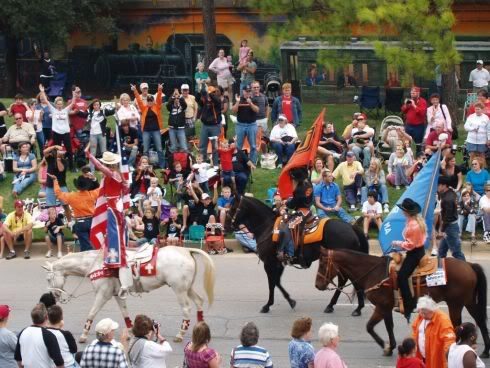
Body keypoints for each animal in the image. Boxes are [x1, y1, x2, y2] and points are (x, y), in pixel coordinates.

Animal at [43, 246, 215, 344]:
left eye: (49, 278)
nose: (54, 295)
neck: (96, 264)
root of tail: (187, 250)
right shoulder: (117, 295)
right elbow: (125, 313)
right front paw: (132, 331)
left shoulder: (102, 294)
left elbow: (91, 313)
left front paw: (84, 335)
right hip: (187, 288)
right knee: (199, 302)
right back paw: (201, 328)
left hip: (179, 290)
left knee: (186, 309)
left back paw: (180, 334)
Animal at [230, 197, 368, 314]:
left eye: (233, 208)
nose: (227, 225)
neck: (268, 228)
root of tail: (351, 227)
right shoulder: (279, 262)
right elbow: (277, 281)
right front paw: (290, 301)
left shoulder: (269, 263)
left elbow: (272, 283)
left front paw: (268, 305)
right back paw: (353, 307)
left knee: (345, 280)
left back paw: (341, 306)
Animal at [314, 249, 490, 358]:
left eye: (322, 264)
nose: (318, 285)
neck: (374, 272)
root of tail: (469, 265)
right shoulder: (385, 308)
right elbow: (386, 326)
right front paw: (391, 347)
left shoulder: (382, 306)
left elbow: (371, 327)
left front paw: (385, 346)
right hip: (468, 302)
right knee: (480, 321)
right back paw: (486, 351)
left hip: (455, 304)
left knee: (458, 325)